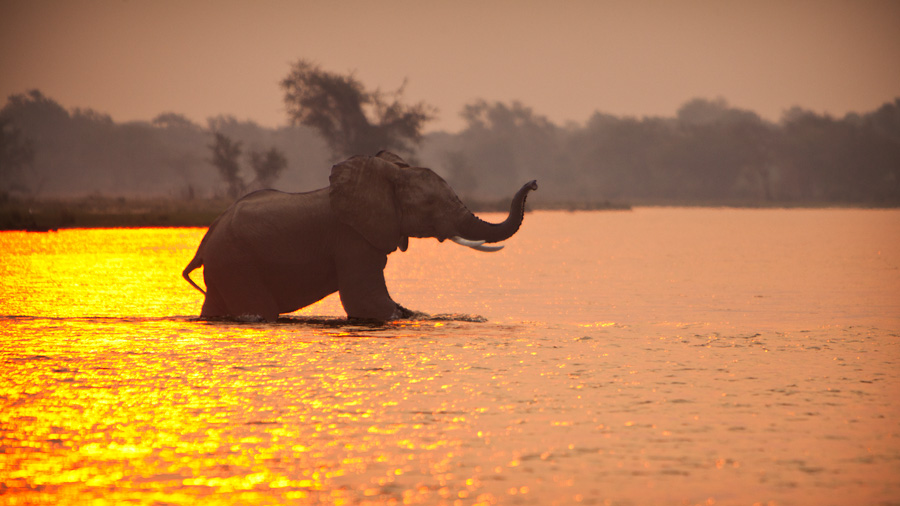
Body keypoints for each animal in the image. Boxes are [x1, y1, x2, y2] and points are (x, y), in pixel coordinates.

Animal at [179, 150, 536, 320]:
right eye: (430, 204)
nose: (534, 183)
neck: (387, 176)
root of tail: (203, 243)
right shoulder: (350, 239)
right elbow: (367, 302)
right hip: (237, 262)